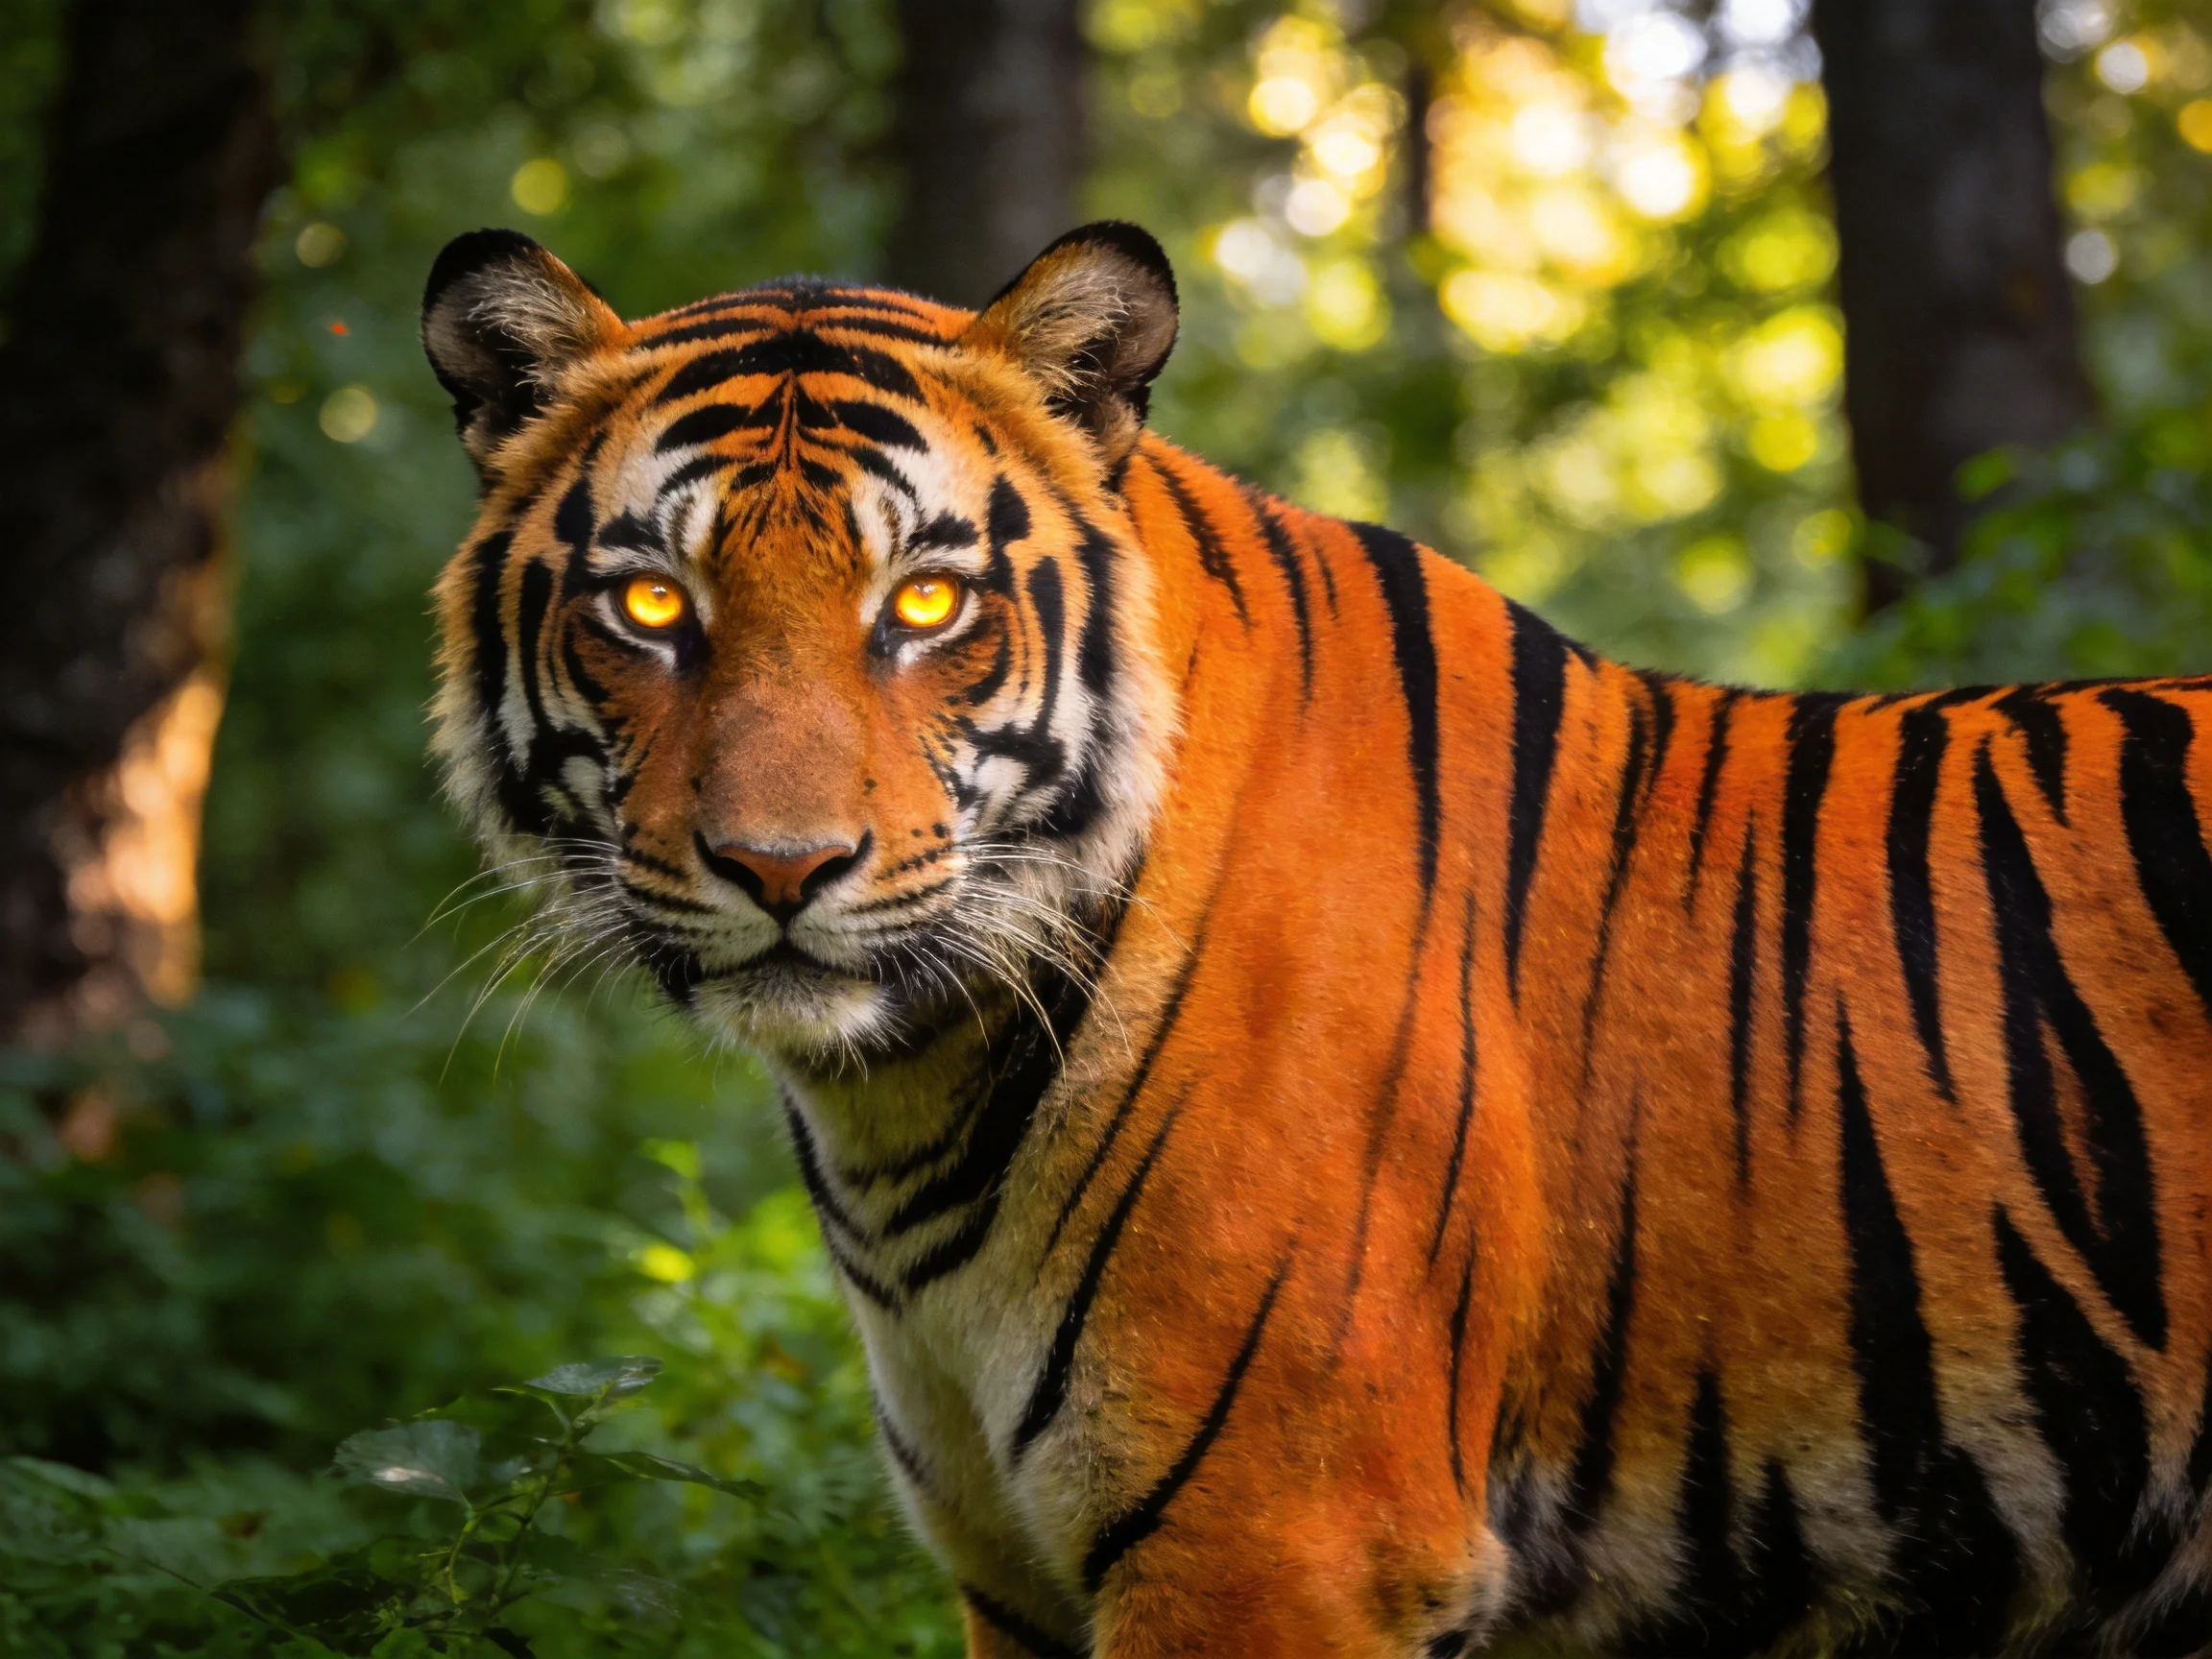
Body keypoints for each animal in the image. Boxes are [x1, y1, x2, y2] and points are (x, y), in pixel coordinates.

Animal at [420, 219, 2212, 1657]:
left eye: (924, 604)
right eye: (652, 605)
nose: (779, 866)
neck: (908, 1101)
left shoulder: (1276, 1544)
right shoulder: (1014, 1568)